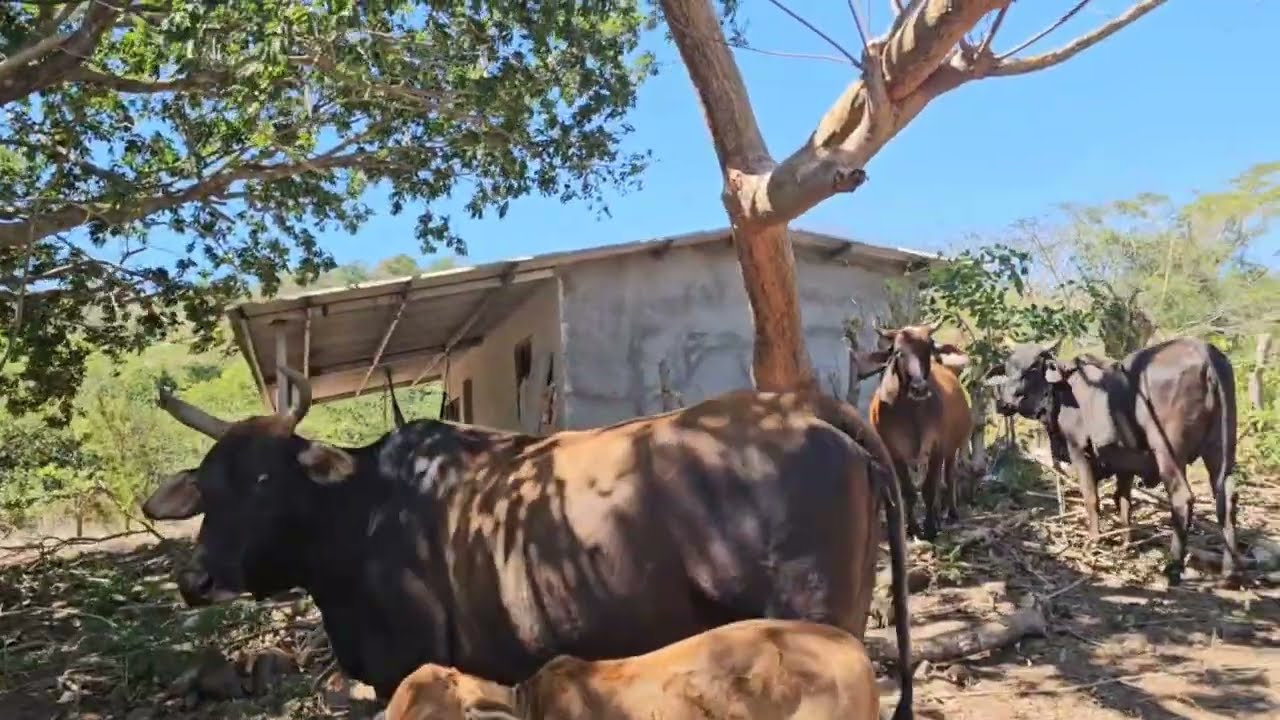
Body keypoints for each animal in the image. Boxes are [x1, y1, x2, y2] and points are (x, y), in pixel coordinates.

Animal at [140, 366, 915, 720]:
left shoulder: (408, 666)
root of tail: (805, 407)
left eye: (265, 479)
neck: (363, 514)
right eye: (207, 487)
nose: (198, 580)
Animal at [858, 323, 972, 541]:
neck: (912, 412)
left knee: (949, 476)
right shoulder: (894, 452)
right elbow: (908, 491)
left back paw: (950, 513)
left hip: (952, 448)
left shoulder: (937, 447)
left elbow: (929, 489)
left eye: (928, 348)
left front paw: (930, 527)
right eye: (898, 352)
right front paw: (912, 528)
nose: (919, 387)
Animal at [984, 337, 1243, 583]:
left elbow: (1092, 499)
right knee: (1226, 499)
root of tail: (1205, 354)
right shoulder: (1124, 462)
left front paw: (1094, 541)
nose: (1004, 402)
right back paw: (1229, 571)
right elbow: (1124, 502)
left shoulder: (1079, 451)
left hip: (1168, 451)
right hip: (1221, 450)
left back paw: (1173, 567)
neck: (1062, 389)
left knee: (1182, 498)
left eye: (1032, 368)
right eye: (1007, 368)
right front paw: (1126, 543)